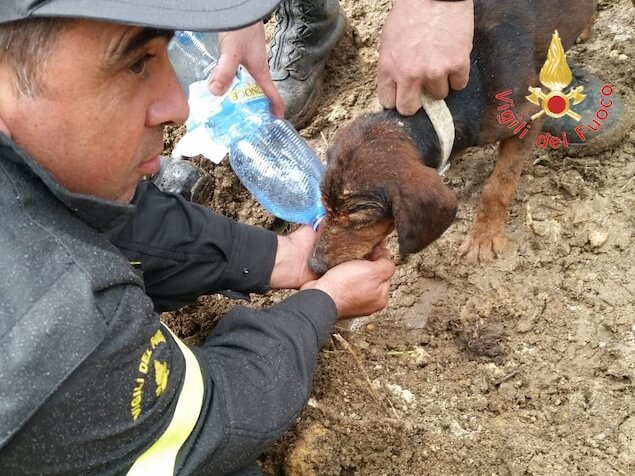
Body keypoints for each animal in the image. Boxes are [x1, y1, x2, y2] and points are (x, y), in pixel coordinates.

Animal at [312, 0, 600, 274]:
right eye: (325, 206)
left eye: (361, 220)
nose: (313, 265)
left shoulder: (528, 117)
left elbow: (498, 186)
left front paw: (483, 236)